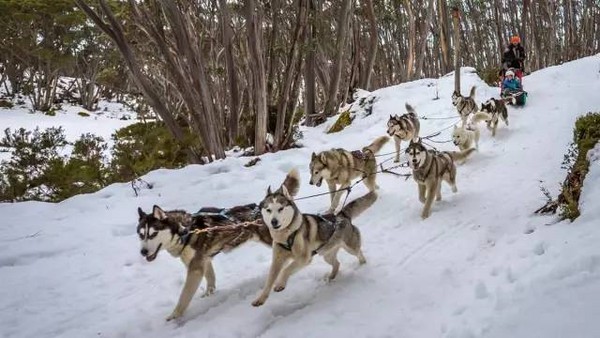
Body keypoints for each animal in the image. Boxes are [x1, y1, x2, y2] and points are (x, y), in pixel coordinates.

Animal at [137, 170, 300, 320]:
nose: (143, 252)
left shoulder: (195, 268)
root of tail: (262, 207)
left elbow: (184, 296)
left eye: (152, 234)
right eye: (141, 234)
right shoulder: (205, 260)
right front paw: (208, 295)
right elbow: (210, 280)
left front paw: (174, 315)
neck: (185, 231)